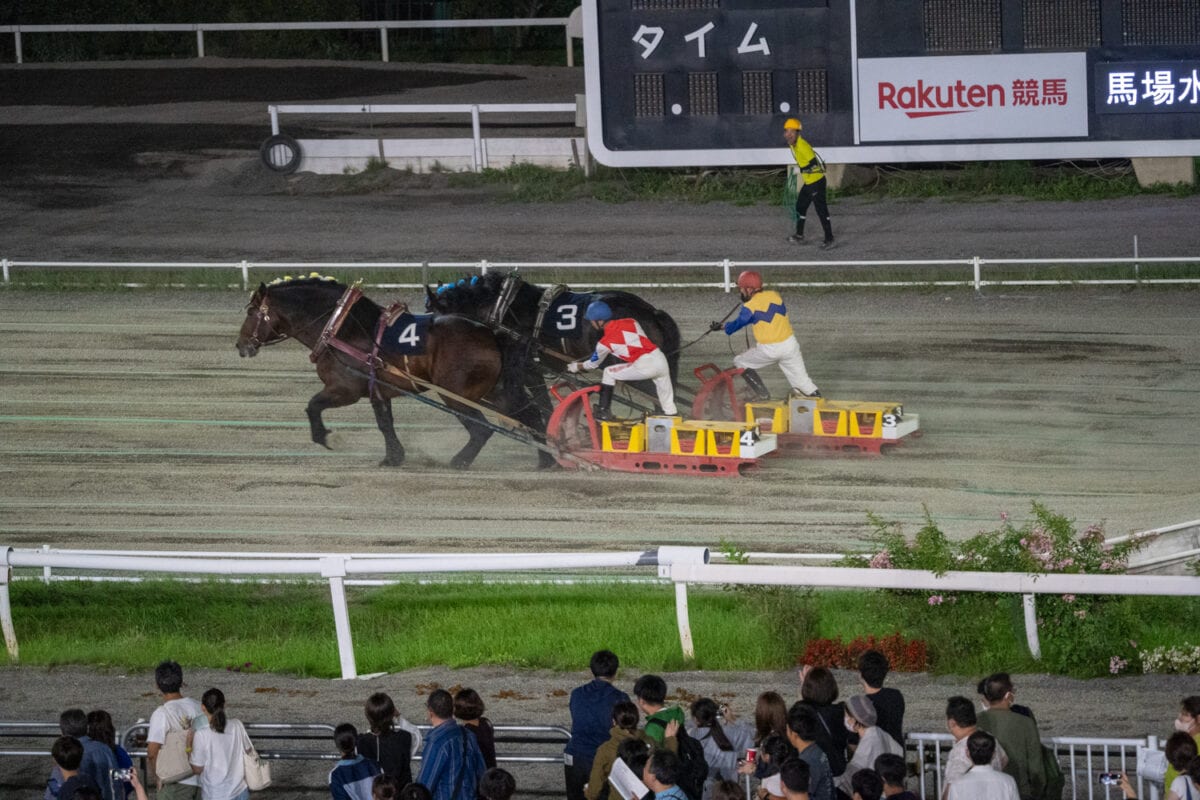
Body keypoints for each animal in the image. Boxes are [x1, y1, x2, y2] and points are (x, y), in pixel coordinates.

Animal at [235, 275, 552, 470]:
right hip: (494, 391)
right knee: (530, 416)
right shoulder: (378, 390)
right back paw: (547, 459)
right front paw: (393, 456)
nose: (241, 345)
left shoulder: (344, 389)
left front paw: (325, 437)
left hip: (456, 394)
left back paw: (459, 461)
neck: (342, 329)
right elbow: (384, 423)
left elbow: (312, 406)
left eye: (250, 312)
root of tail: (491, 334)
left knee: (481, 429)